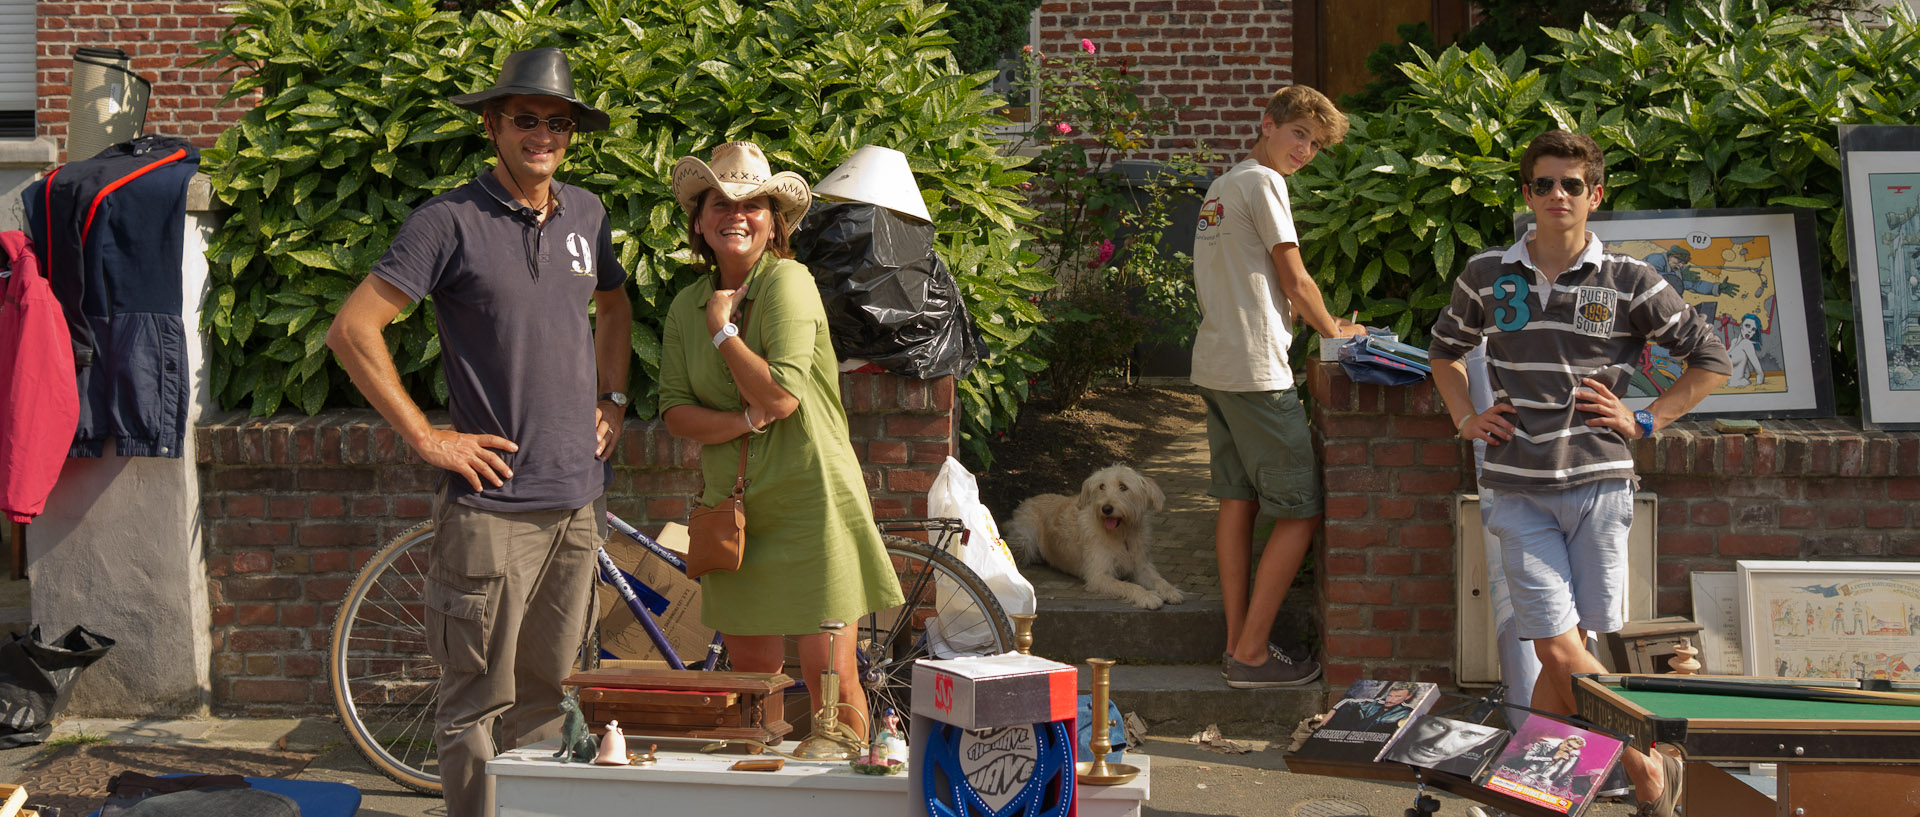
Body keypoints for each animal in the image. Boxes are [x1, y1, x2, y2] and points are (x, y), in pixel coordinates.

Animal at [1006, 466, 1182, 606]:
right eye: (1101, 486)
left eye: (1123, 487)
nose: (1106, 509)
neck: (1121, 535)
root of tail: (1027, 499)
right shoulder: (1099, 576)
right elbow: (1128, 586)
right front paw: (1147, 596)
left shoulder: (1141, 566)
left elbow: (1159, 580)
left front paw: (1171, 591)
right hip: (1024, 540)